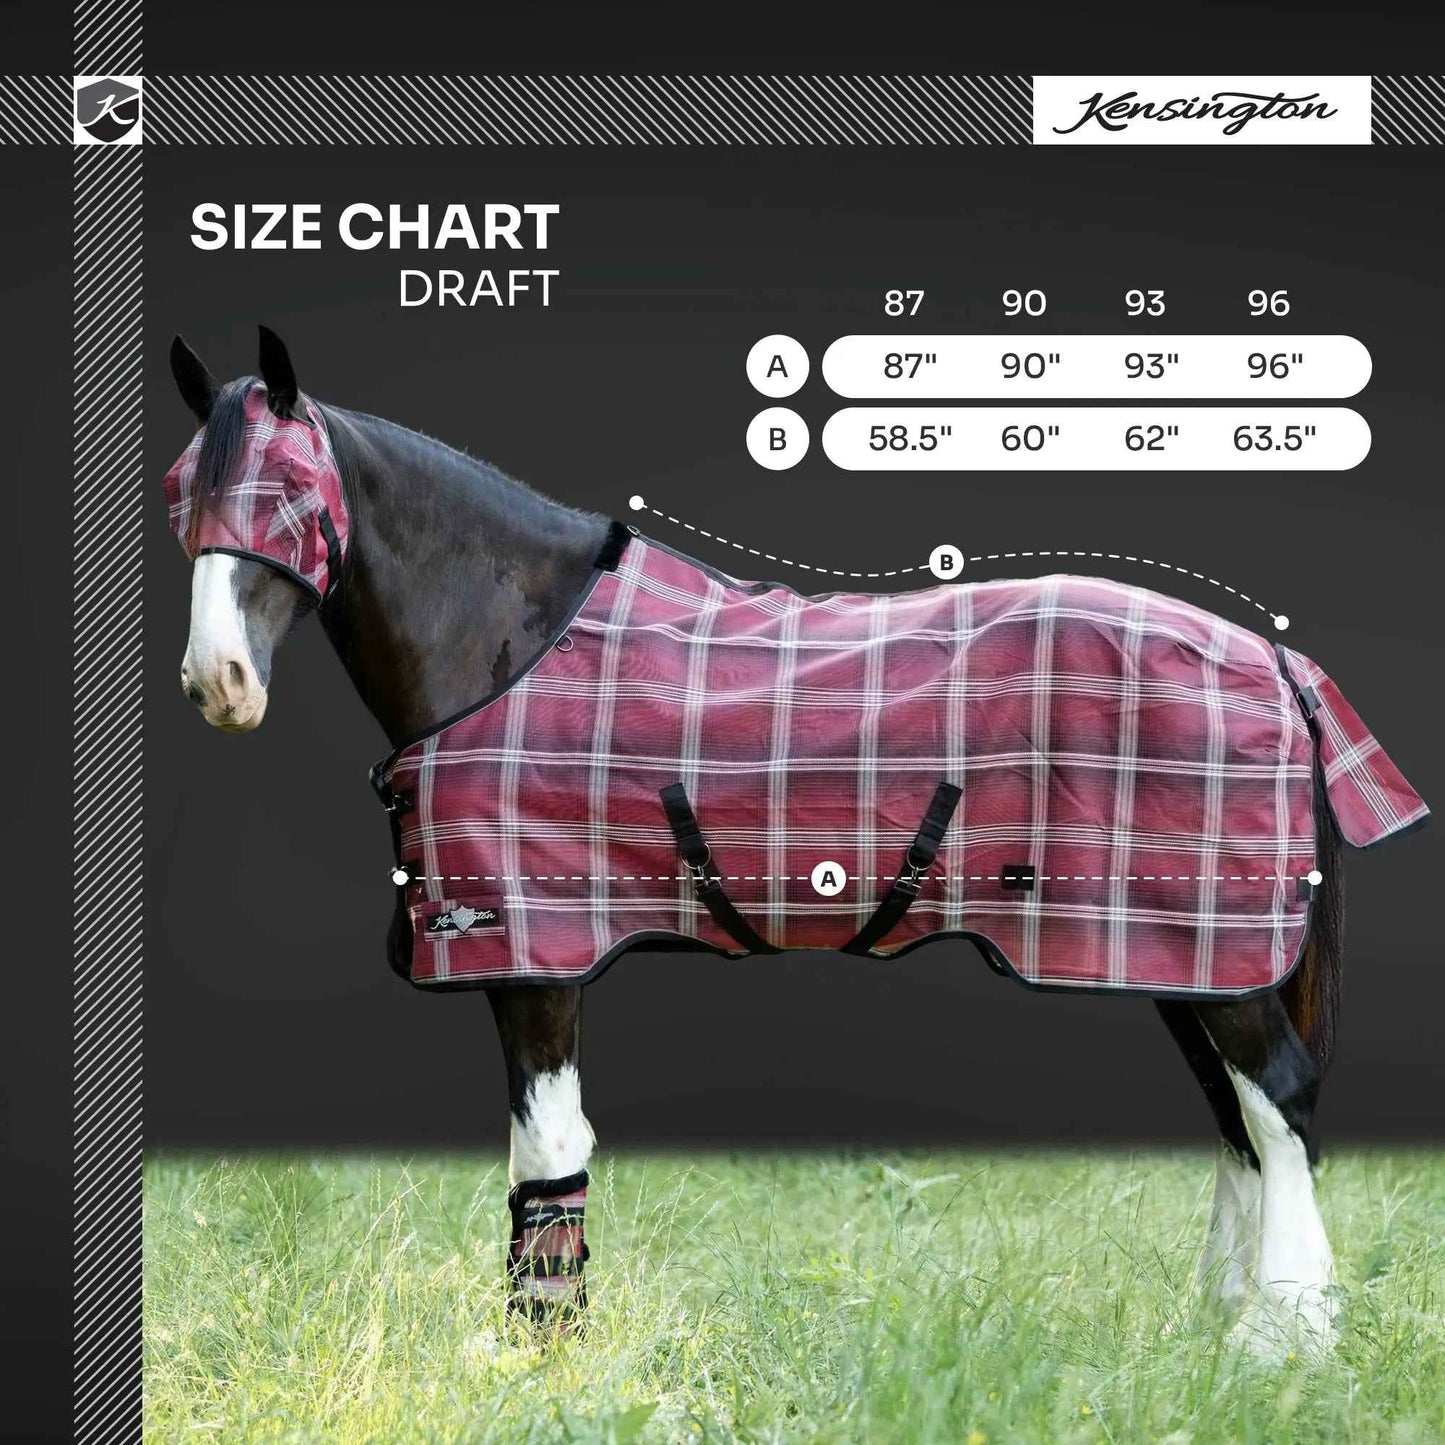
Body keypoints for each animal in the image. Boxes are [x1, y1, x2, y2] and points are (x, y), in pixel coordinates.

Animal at [162, 327, 1427, 1350]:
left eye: (288, 492)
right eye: (181, 493)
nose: (217, 680)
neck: (511, 640)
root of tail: (1273, 657)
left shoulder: (536, 954)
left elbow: (547, 1146)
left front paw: (541, 1348)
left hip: (1210, 951)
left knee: (1275, 1100)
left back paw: (1282, 1338)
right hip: (1174, 954)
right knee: (1238, 1120)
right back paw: (1223, 1322)